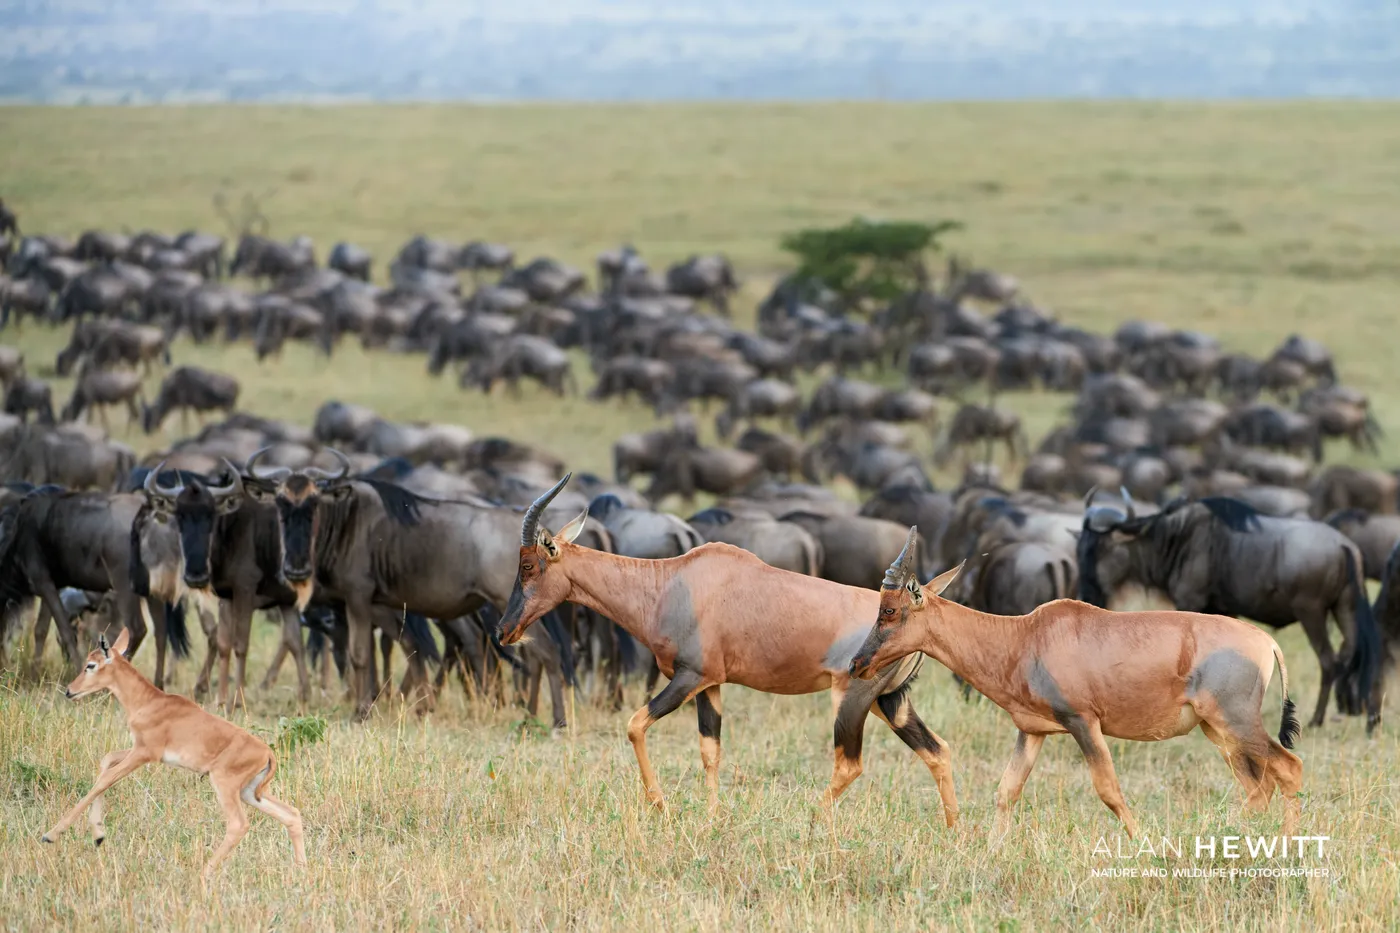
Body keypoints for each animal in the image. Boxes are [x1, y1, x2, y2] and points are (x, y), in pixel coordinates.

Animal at [41, 628, 306, 882]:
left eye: (90, 665)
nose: (69, 691)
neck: (150, 701)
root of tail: (267, 752)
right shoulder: (138, 750)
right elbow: (106, 760)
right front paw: (98, 835)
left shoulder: (144, 754)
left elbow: (106, 779)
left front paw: (51, 834)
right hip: (250, 792)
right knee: (291, 814)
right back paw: (301, 872)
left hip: (225, 785)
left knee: (238, 825)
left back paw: (203, 874)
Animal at [496, 474, 960, 822]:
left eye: (528, 564)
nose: (504, 630)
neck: (675, 582)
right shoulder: (711, 685)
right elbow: (710, 751)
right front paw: (712, 817)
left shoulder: (689, 677)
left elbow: (634, 724)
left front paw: (661, 805)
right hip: (890, 699)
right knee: (937, 751)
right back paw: (954, 831)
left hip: (854, 696)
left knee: (850, 764)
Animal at [850, 529, 1304, 840]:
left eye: (889, 610)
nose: (857, 664)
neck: (1026, 635)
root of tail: (1265, 642)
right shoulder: (1032, 731)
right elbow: (1006, 791)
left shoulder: (1083, 722)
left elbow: (1109, 790)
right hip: (1219, 732)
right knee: (1259, 786)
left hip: (1237, 723)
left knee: (1289, 769)